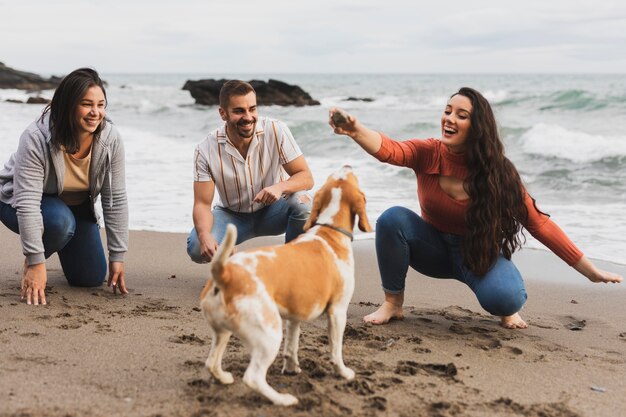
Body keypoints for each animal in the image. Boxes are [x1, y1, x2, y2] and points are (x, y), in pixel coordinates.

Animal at [200, 164, 370, 404]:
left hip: (222, 332)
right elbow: (336, 350)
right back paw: (283, 400)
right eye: (351, 176)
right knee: (252, 377)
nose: (347, 165)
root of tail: (225, 274)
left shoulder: (294, 316)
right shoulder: (337, 312)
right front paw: (343, 372)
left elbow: (292, 346)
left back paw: (224, 378)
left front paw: (292, 369)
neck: (329, 231)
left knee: (212, 363)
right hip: (269, 335)